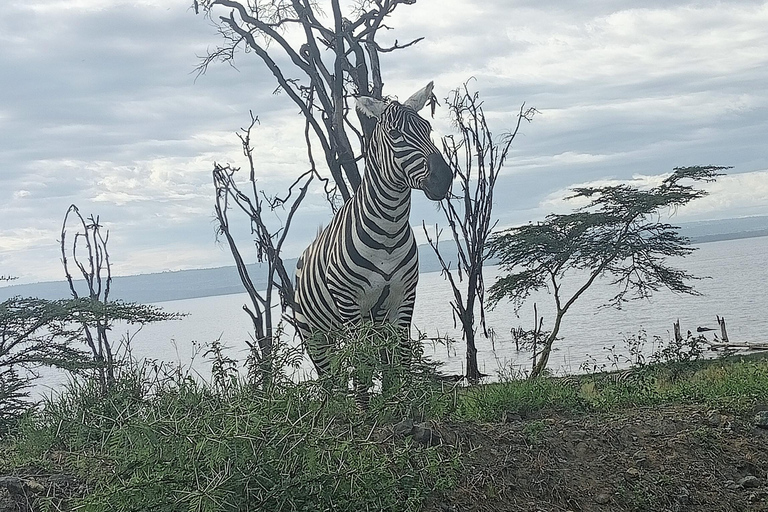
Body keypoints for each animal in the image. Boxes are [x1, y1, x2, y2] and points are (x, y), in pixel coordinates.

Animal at [292, 82, 450, 380]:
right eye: (395, 134)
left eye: (428, 129)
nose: (443, 178)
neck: (389, 231)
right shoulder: (349, 303)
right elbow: (363, 366)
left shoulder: (403, 298)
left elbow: (399, 361)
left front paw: (398, 394)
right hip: (315, 334)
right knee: (331, 378)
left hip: (369, 323)